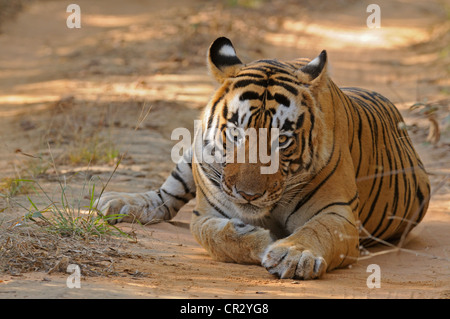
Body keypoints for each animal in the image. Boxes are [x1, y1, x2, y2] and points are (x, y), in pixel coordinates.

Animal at [95, 36, 428, 278]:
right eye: (236, 132)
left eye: (282, 140)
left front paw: (294, 254)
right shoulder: (206, 214)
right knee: (166, 194)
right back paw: (119, 203)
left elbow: (317, 230)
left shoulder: (338, 213)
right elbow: (220, 238)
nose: (248, 195)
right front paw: (265, 240)